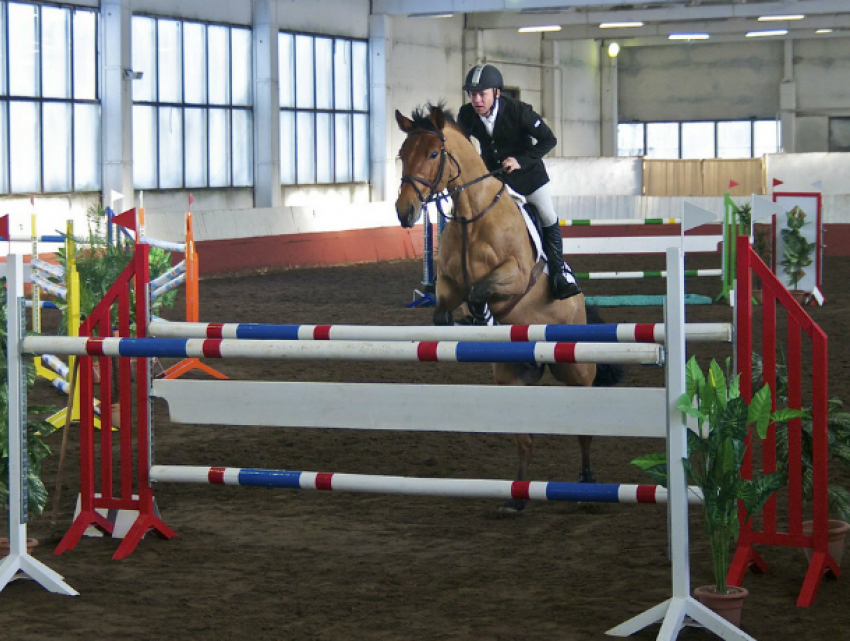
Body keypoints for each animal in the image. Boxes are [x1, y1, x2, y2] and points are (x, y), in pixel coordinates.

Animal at [394, 102, 620, 510]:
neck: (472, 214)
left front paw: (481, 318)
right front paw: (469, 323)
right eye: (403, 154)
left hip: (577, 370)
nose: (405, 212)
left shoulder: (513, 276)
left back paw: (586, 484)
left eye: (433, 154)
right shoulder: (448, 285)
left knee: (584, 429)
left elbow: (481, 291)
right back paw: (517, 497)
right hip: (512, 376)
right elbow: (442, 311)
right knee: (524, 438)